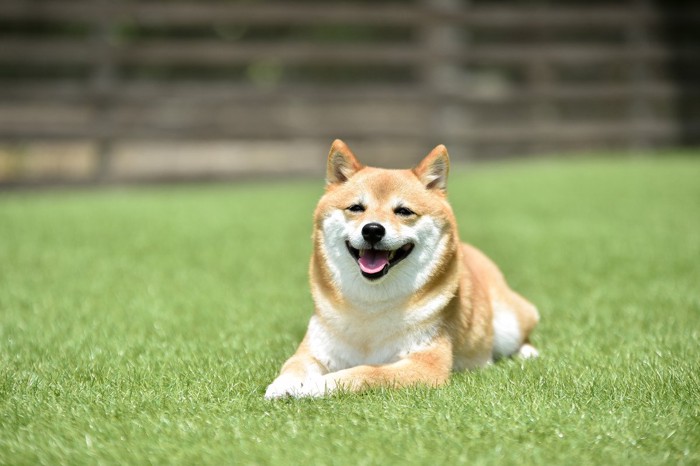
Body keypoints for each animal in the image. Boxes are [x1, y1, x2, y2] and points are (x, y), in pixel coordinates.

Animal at [266, 140, 540, 398]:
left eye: (404, 211)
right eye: (356, 208)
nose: (372, 230)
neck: (370, 308)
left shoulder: (425, 363)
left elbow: (364, 372)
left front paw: (315, 385)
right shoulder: (315, 350)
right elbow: (293, 366)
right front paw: (284, 385)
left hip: (509, 322)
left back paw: (528, 352)